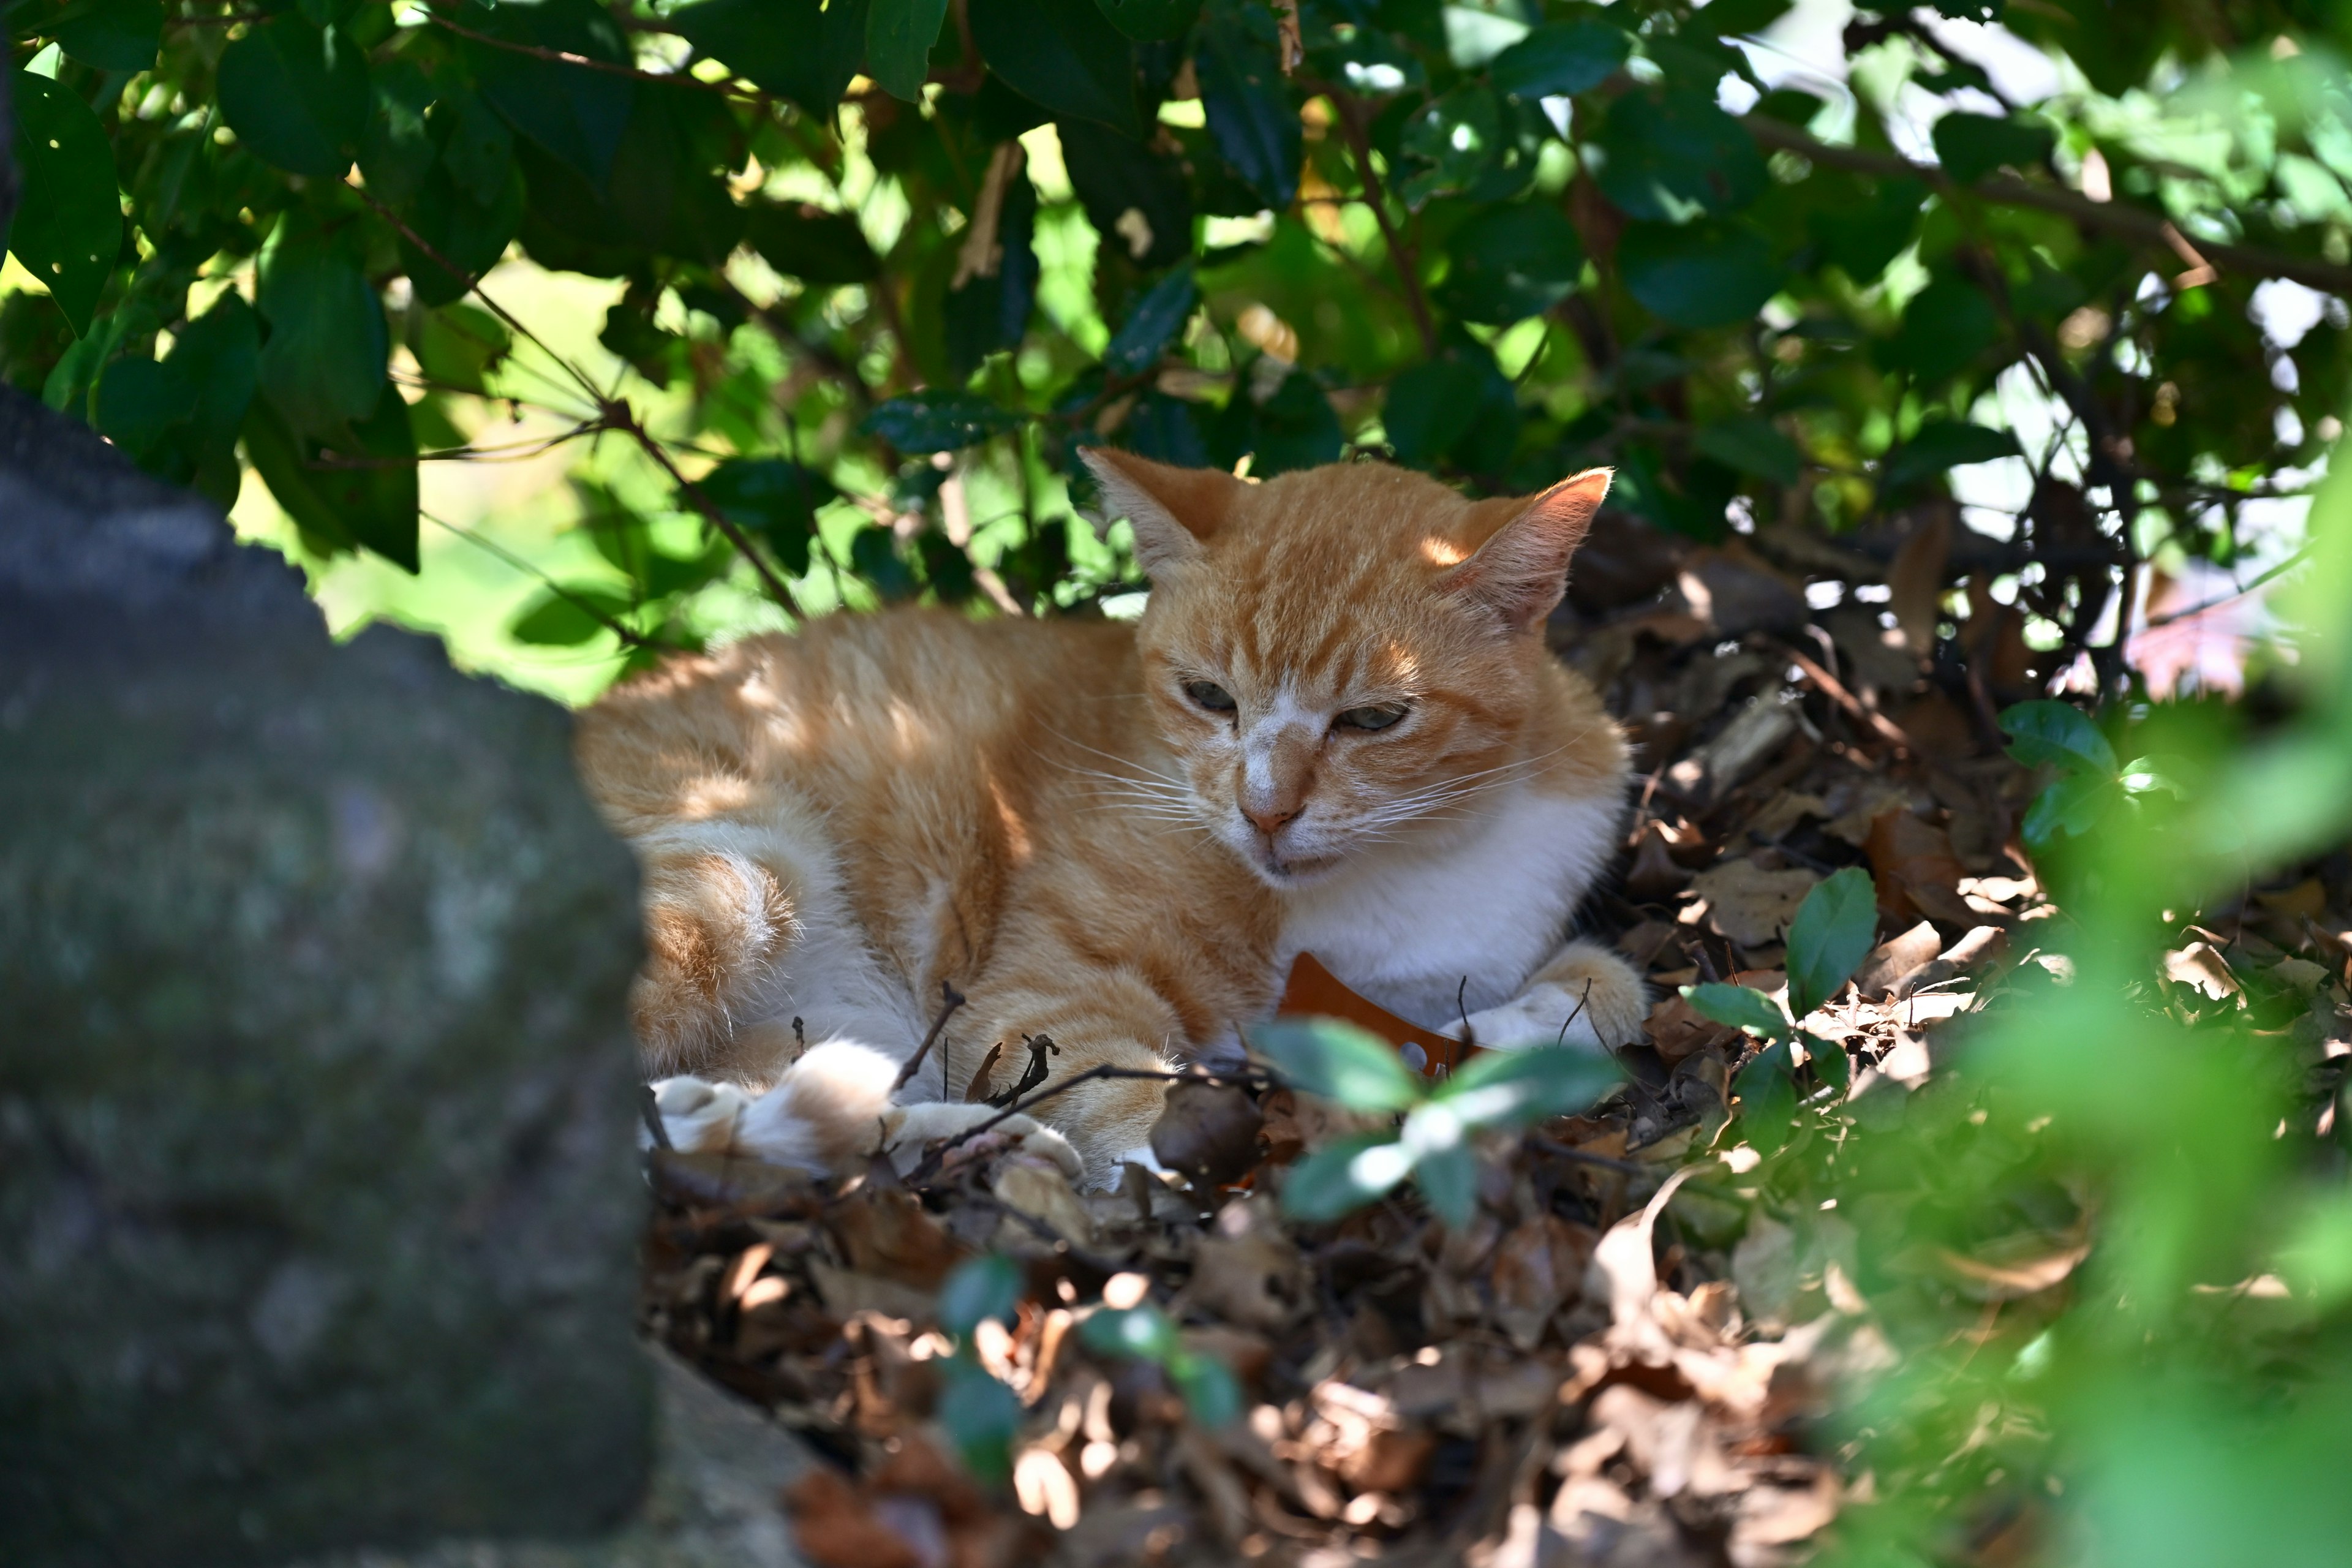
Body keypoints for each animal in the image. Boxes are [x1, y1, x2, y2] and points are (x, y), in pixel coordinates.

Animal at [578, 447, 1646, 1185]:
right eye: (1208, 697)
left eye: (1374, 720)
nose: (1265, 810)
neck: (1416, 858)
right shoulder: (1037, 997)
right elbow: (1124, 1083)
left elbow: (1612, 990)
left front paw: (1497, 1044)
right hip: (741, 868)